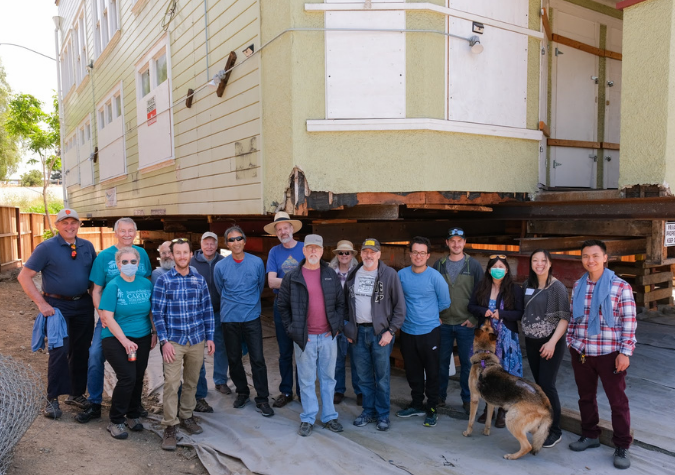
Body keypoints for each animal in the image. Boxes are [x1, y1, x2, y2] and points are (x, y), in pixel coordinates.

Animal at [464, 320, 556, 462]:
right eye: (487, 327)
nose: (488, 318)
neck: (485, 356)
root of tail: (545, 402)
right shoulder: (491, 402)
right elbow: (488, 420)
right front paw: (486, 432)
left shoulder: (474, 398)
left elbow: (471, 421)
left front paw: (468, 432)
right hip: (532, 426)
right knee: (538, 436)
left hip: (511, 419)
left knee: (527, 446)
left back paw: (512, 456)